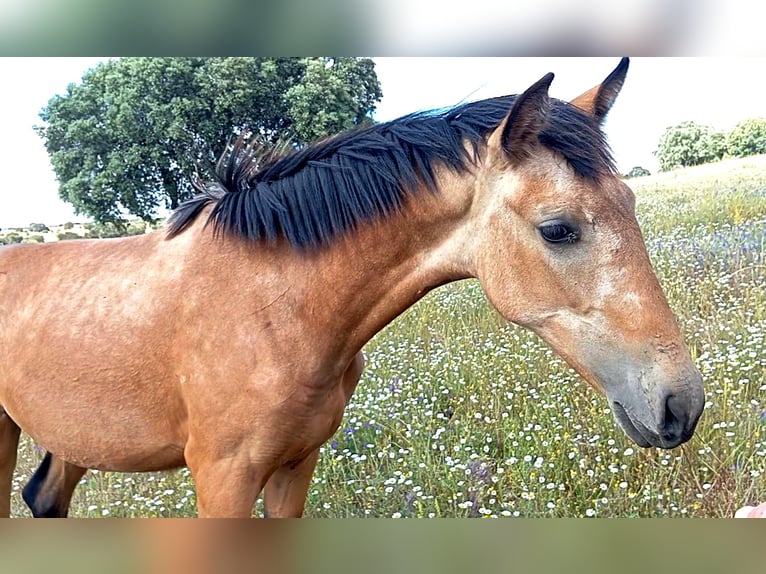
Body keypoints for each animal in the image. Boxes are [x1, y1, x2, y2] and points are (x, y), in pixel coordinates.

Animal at [1, 56, 708, 520]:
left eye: (631, 204)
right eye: (558, 229)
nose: (680, 404)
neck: (274, 306)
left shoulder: (295, 466)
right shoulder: (223, 478)